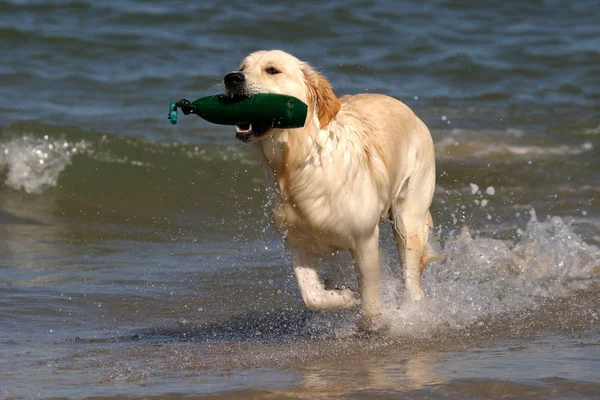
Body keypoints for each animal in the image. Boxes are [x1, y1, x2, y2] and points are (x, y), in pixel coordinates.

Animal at [223, 50, 434, 332]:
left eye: (272, 70)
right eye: (242, 67)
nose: (232, 78)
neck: (298, 162)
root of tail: (407, 109)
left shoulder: (364, 239)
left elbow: (369, 297)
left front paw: (371, 324)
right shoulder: (294, 239)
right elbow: (312, 295)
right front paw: (343, 297)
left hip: (409, 216)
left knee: (411, 278)